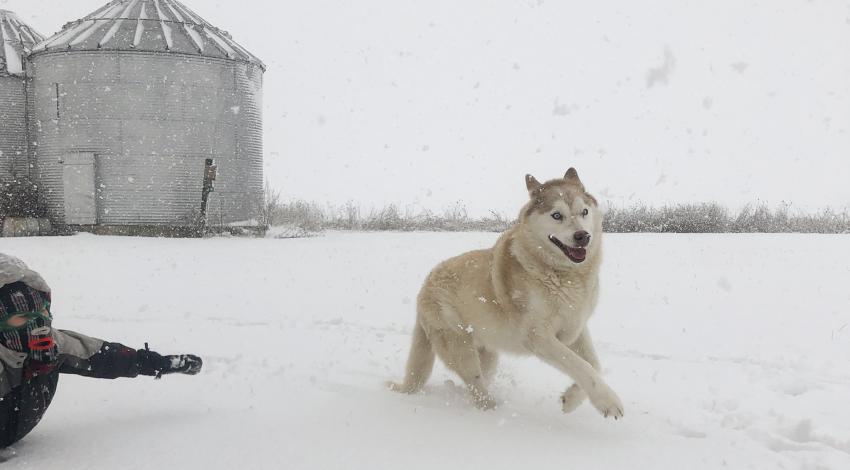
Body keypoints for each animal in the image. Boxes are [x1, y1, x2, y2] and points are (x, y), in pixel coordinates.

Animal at [388, 169, 620, 418]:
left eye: (584, 212)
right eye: (557, 215)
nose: (582, 236)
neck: (564, 275)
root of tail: (425, 284)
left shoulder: (575, 327)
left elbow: (594, 365)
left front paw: (570, 400)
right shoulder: (538, 337)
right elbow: (581, 366)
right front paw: (609, 402)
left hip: (488, 354)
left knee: (477, 382)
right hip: (461, 348)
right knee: (476, 386)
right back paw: (492, 411)